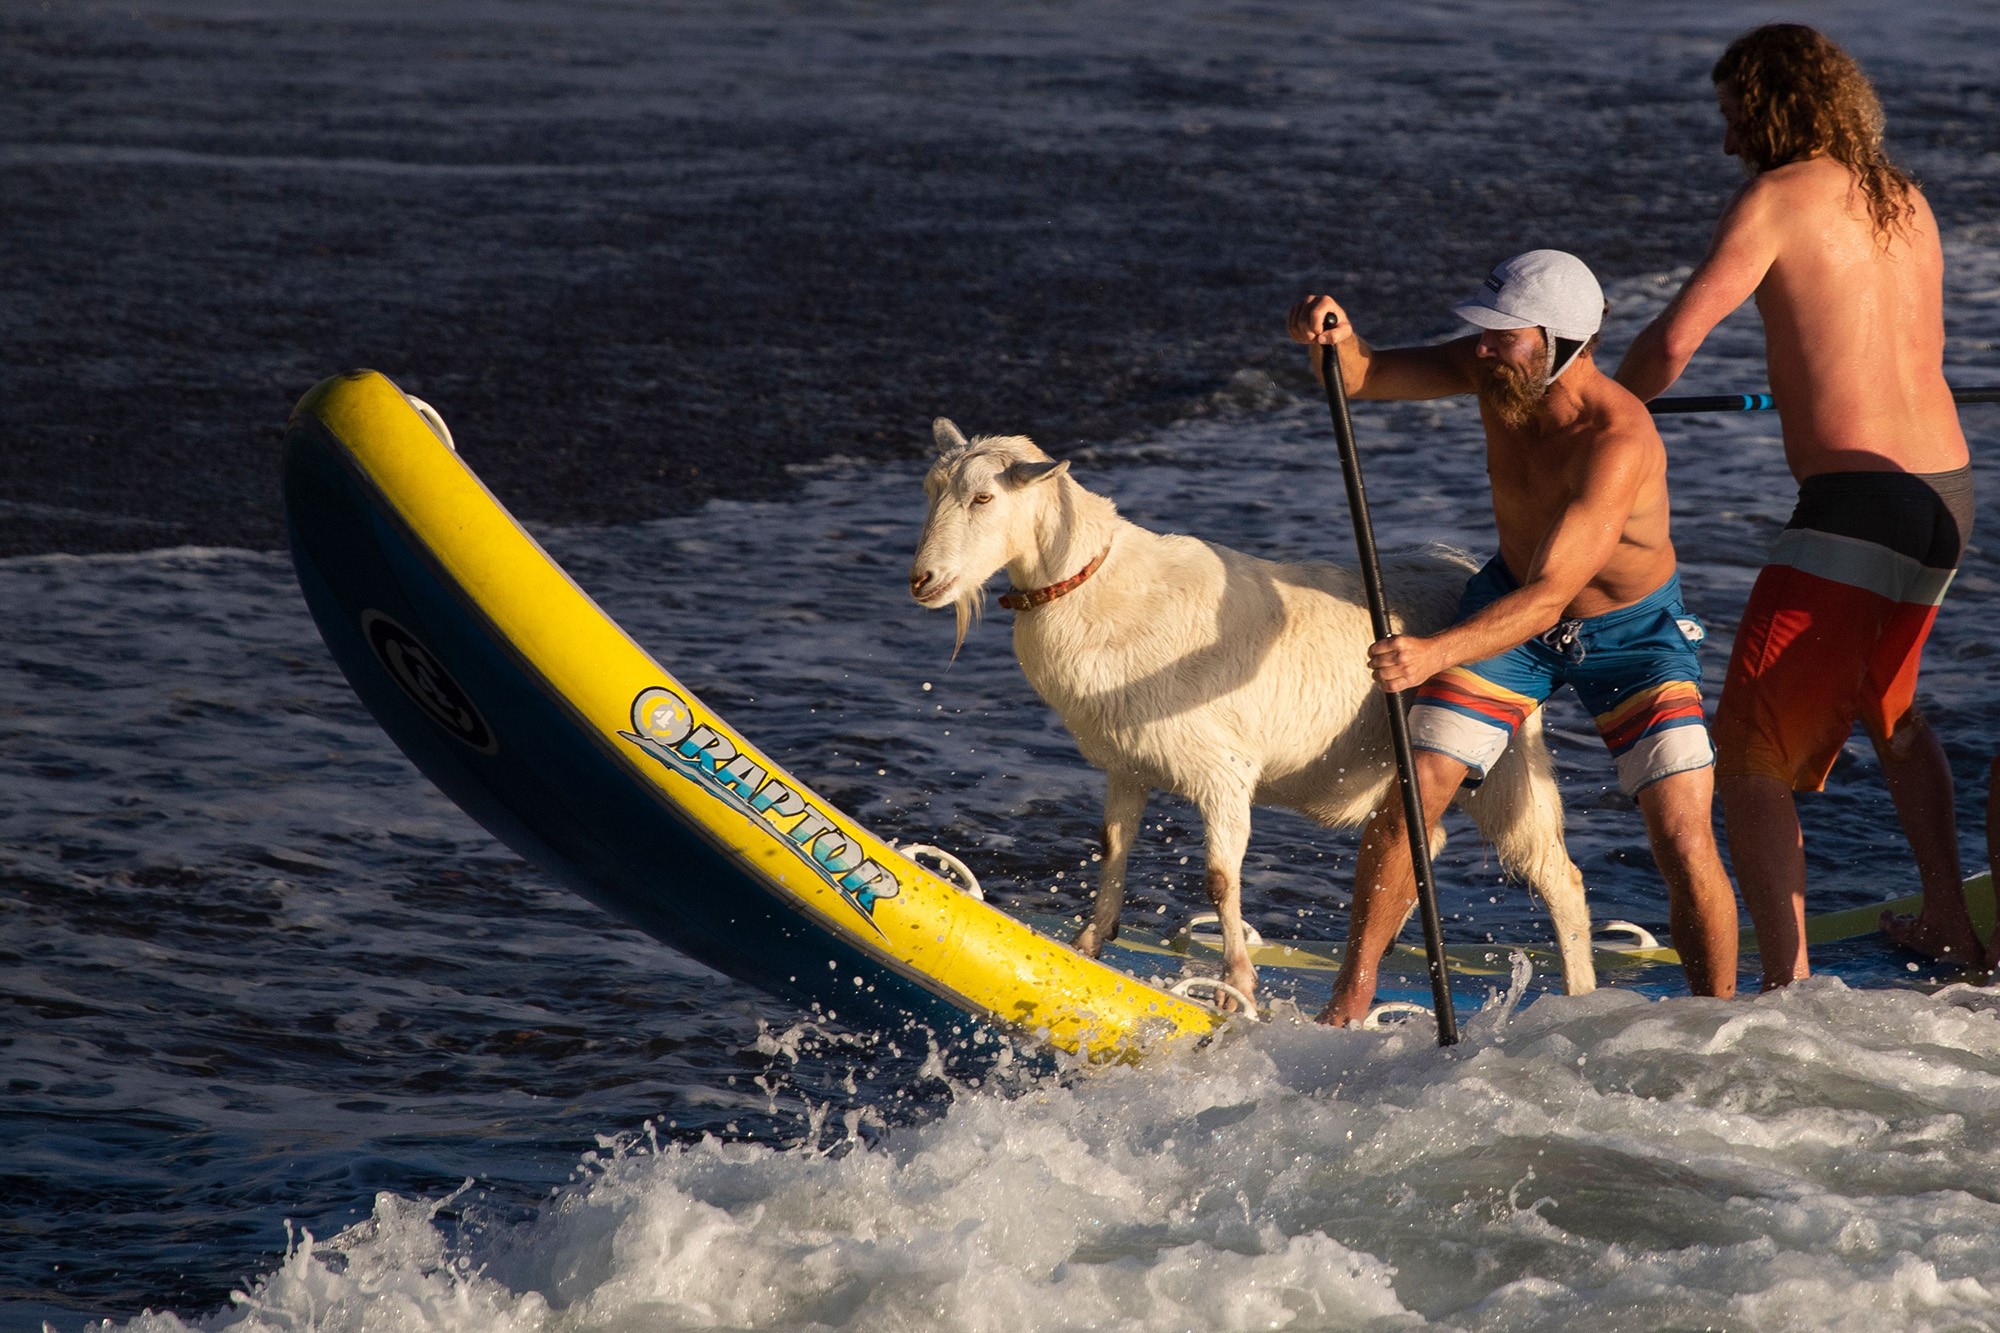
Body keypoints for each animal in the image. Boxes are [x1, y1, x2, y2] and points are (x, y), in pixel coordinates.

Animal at [912, 420, 1592, 1000]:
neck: (1102, 589)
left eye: (983, 498)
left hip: (1500, 747)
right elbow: (1113, 847)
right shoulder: (1127, 765)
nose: (923, 581)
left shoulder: (1223, 773)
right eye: (932, 490)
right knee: (1428, 838)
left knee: (1557, 875)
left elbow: (1219, 876)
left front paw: (1236, 983)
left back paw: (1579, 991)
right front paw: (1088, 942)